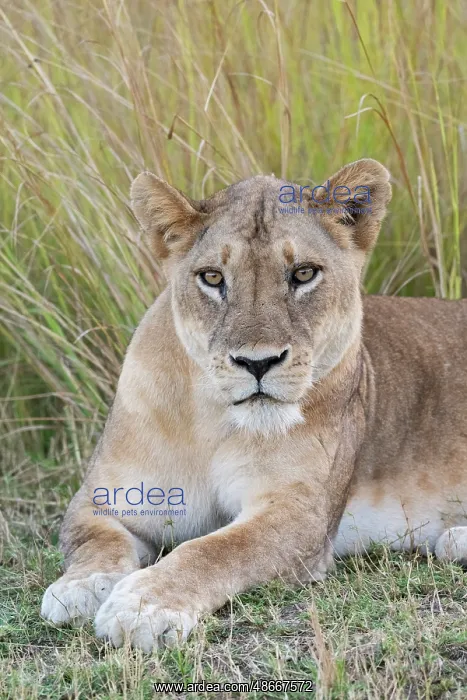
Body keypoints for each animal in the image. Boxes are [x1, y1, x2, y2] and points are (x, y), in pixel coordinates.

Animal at [41, 159, 467, 652]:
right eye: (212, 278)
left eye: (303, 274)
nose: (257, 362)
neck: (213, 420)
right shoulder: (104, 498)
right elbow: (95, 541)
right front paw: (79, 587)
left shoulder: (300, 515)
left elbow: (214, 550)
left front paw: (143, 606)